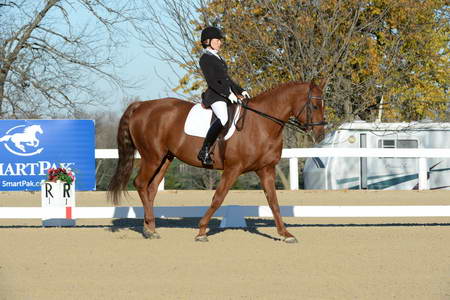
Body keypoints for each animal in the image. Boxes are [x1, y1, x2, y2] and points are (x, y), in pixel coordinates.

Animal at [107, 81, 326, 243]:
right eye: (315, 105)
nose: (320, 134)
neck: (261, 124)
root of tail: (141, 105)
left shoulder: (266, 170)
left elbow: (273, 202)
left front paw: (286, 234)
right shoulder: (232, 169)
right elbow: (218, 198)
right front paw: (201, 231)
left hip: (165, 159)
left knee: (151, 189)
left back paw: (150, 229)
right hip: (152, 157)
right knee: (141, 184)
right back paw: (150, 228)